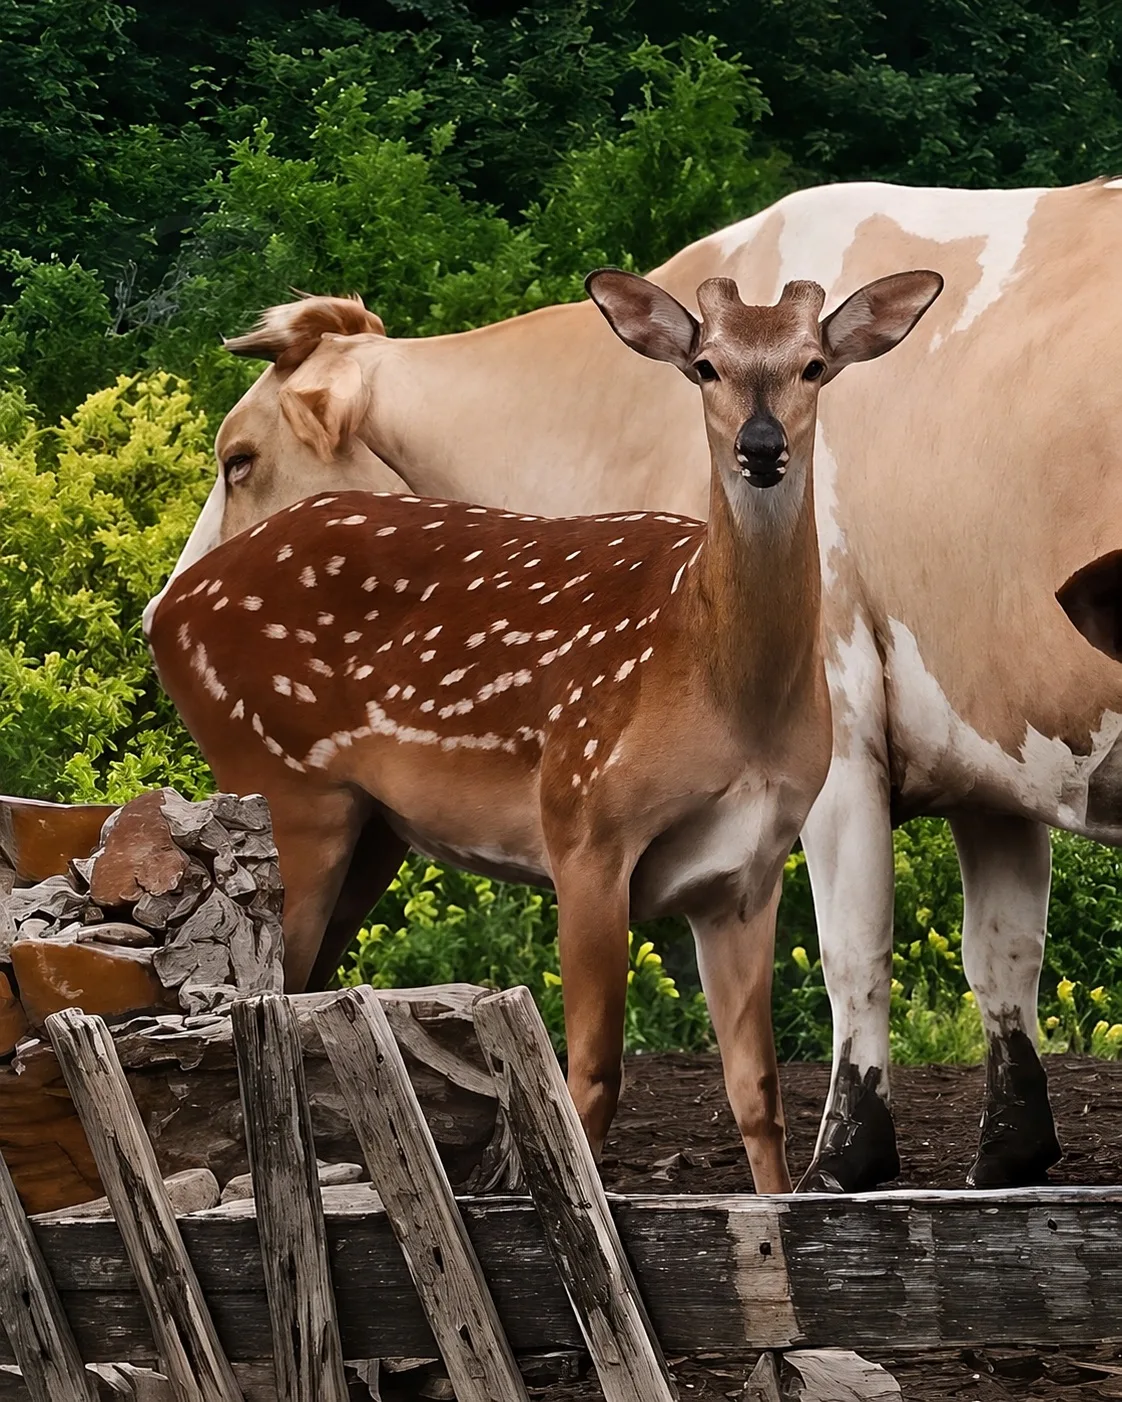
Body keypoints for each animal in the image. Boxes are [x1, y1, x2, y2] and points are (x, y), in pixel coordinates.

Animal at [148, 176, 1122, 1192]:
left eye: (238, 457)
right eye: (703, 367)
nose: (148, 619)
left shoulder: (847, 720)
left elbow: (855, 963)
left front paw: (847, 1163)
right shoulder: (982, 756)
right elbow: (998, 957)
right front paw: (999, 1152)